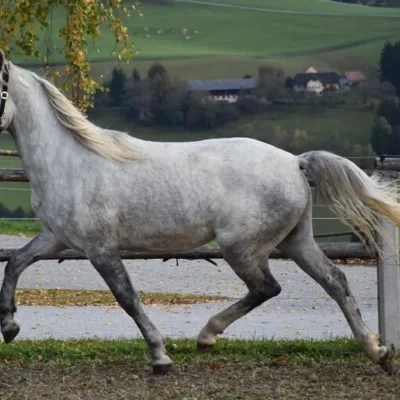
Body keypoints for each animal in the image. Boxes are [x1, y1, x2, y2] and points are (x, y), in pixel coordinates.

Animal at [0, 50, 400, 376]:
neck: (69, 162)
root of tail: (295, 162)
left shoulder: (100, 248)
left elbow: (127, 297)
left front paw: (160, 357)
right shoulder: (57, 239)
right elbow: (15, 263)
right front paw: (10, 327)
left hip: (241, 247)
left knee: (267, 287)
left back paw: (207, 336)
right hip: (295, 241)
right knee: (335, 281)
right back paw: (378, 352)